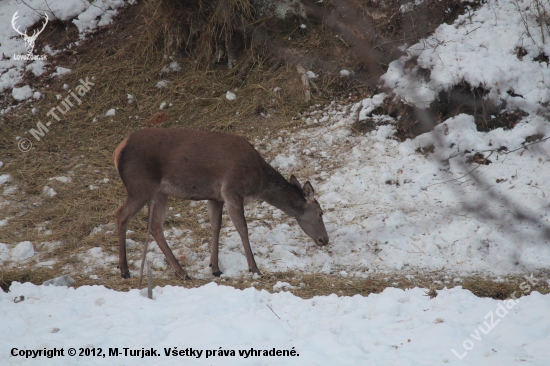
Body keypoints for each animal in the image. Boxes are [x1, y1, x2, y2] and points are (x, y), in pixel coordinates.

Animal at [112, 127, 328, 278]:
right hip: (141, 187)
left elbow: (216, 227)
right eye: (320, 213)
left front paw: (215, 268)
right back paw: (124, 270)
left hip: (159, 192)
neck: (259, 182)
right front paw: (254, 269)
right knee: (121, 213)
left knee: (155, 226)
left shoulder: (215, 197)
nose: (324, 240)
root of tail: (117, 150)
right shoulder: (232, 191)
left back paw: (181, 272)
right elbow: (243, 229)